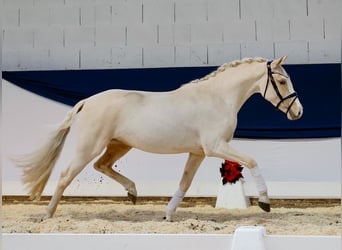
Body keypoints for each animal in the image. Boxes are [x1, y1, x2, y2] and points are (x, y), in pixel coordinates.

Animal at [13, 55, 304, 221]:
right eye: (281, 81)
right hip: (90, 146)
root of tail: (87, 101)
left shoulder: (198, 152)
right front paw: (265, 203)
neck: (218, 98)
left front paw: (168, 214)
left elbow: (185, 182)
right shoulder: (215, 147)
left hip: (119, 146)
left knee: (102, 166)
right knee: (66, 175)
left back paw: (132, 192)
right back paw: (48, 215)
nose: (298, 112)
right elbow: (252, 161)